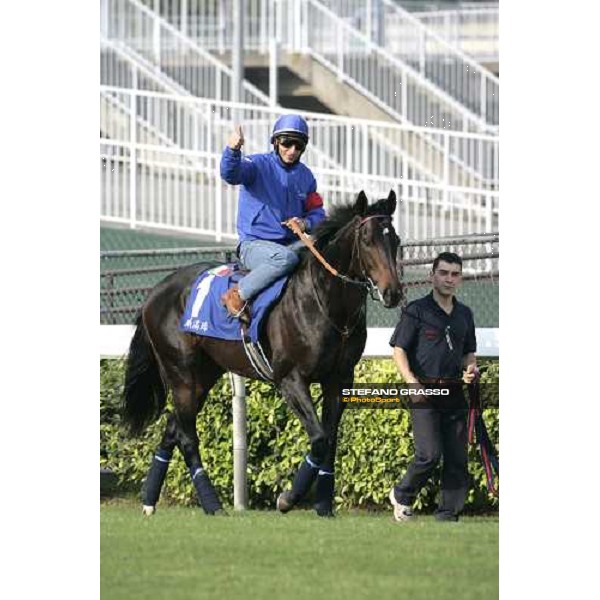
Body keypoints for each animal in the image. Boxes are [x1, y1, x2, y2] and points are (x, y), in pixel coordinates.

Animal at [120, 191, 404, 516]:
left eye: (395, 239)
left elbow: (330, 440)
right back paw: (212, 503)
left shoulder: (340, 379)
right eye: (367, 239)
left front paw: (323, 505)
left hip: (203, 376)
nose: (393, 292)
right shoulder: (290, 379)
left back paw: (149, 501)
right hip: (182, 374)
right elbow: (319, 439)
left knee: (172, 428)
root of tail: (154, 293)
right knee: (186, 436)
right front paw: (288, 498)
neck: (326, 304)